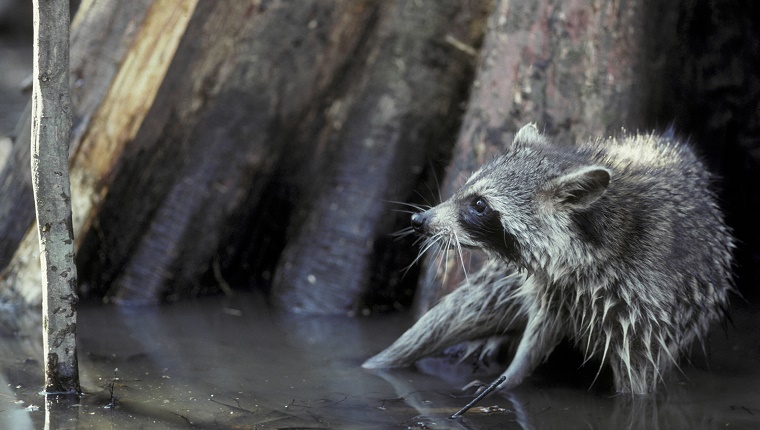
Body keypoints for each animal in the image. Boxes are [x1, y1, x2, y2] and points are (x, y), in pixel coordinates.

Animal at [366, 123, 732, 394]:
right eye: (466, 189)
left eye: (479, 204)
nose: (420, 220)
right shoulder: (550, 285)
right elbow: (538, 331)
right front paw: (512, 373)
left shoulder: (649, 305)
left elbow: (639, 381)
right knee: (458, 312)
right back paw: (381, 361)